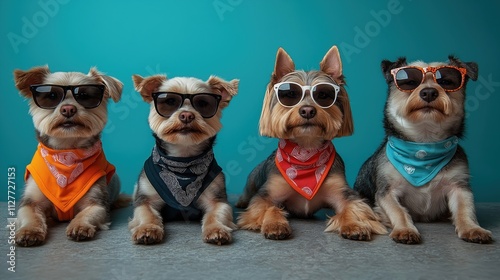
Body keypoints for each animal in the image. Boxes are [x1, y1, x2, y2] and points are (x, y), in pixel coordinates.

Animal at [13, 65, 125, 245]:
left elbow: (87, 213)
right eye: (52, 96)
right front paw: (30, 230)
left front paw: (79, 226)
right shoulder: (31, 202)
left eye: (85, 96)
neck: (66, 153)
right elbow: (30, 215)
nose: (68, 109)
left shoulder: (96, 202)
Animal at [129, 72, 238, 245]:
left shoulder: (217, 197)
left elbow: (217, 212)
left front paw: (216, 230)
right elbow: (146, 212)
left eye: (202, 103)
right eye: (170, 102)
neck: (183, 159)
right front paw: (147, 229)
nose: (187, 115)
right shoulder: (145, 197)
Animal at [235, 46, 386, 241]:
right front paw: (275, 224)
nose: (307, 110)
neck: (306, 152)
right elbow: (267, 206)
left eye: (323, 95)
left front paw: (355, 224)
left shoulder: (342, 192)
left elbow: (354, 206)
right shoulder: (268, 193)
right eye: (290, 94)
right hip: (253, 179)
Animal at [354, 55, 494, 244]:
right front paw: (405, 229)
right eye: (409, 82)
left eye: (447, 81)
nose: (429, 92)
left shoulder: (459, 186)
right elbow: (398, 211)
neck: (423, 147)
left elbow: (466, 209)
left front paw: (472, 228)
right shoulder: (387, 191)